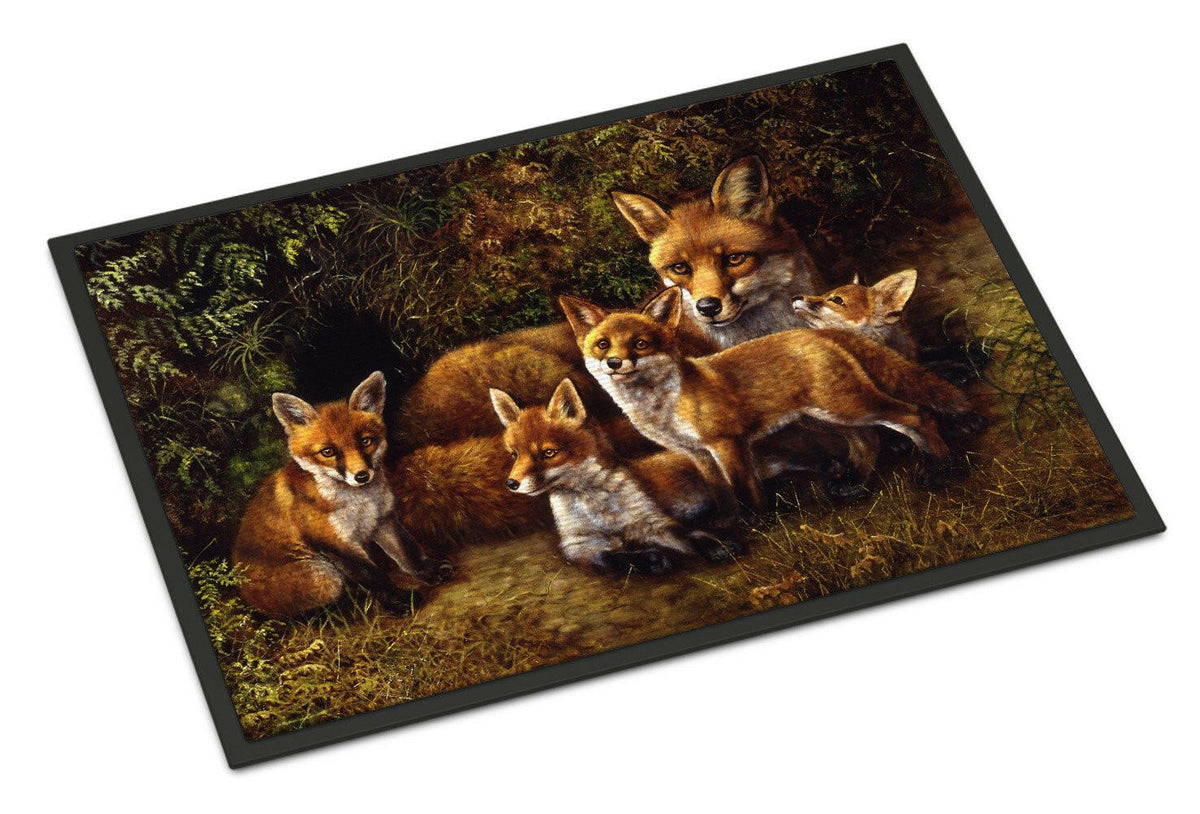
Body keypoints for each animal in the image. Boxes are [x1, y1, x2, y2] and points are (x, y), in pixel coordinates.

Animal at [232, 372, 452, 619]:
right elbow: (374, 576)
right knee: (304, 615)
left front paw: (428, 570)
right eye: (328, 452)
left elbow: (407, 551)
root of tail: (244, 596)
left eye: (365, 441)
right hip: (325, 576)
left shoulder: (383, 520)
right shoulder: (336, 543)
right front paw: (398, 600)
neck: (361, 502)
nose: (362, 476)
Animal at [489, 378, 742, 574]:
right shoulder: (580, 544)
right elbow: (610, 556)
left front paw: (714, 544)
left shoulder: (652, 521)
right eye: (514, 454)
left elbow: (688, 533)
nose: (511, 483)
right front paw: (648, 558)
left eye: (549, 453)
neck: (598, 508)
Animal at [561, 288, 985, 511]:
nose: (615, 363)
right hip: (825, 417)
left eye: (640, 344)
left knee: (916, 415)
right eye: (603, 345)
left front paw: (757, 524)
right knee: (869, 440)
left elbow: (744, 489)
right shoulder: (696, 454)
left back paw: (940, 468)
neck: (663, 407)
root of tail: (817, 333)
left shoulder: (726, 443)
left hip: (848, 406)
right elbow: (720, 493)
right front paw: (731, 527)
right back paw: (853, 484)